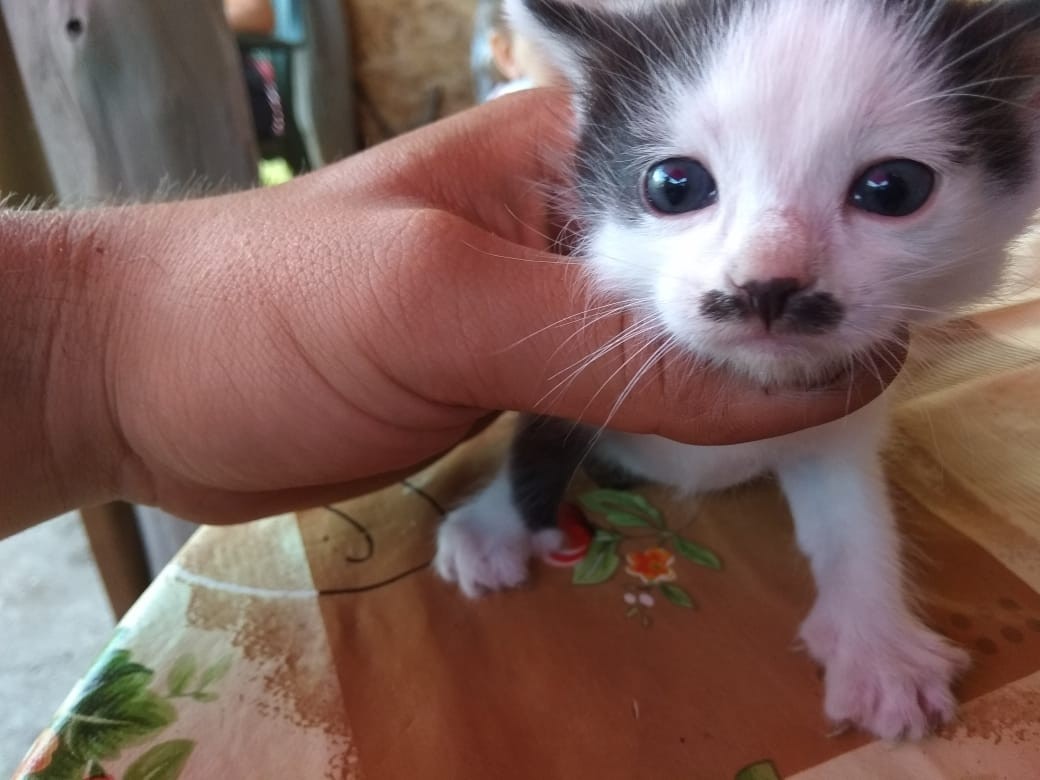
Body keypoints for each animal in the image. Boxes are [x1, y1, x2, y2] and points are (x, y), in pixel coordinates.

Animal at [434, 0, 1040, 740]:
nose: (767, 286)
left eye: (893, 188)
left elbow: (852, 509)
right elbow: (546, 419)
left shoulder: (840, 406)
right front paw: (496, 521)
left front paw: (877, 648)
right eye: (675, 186)